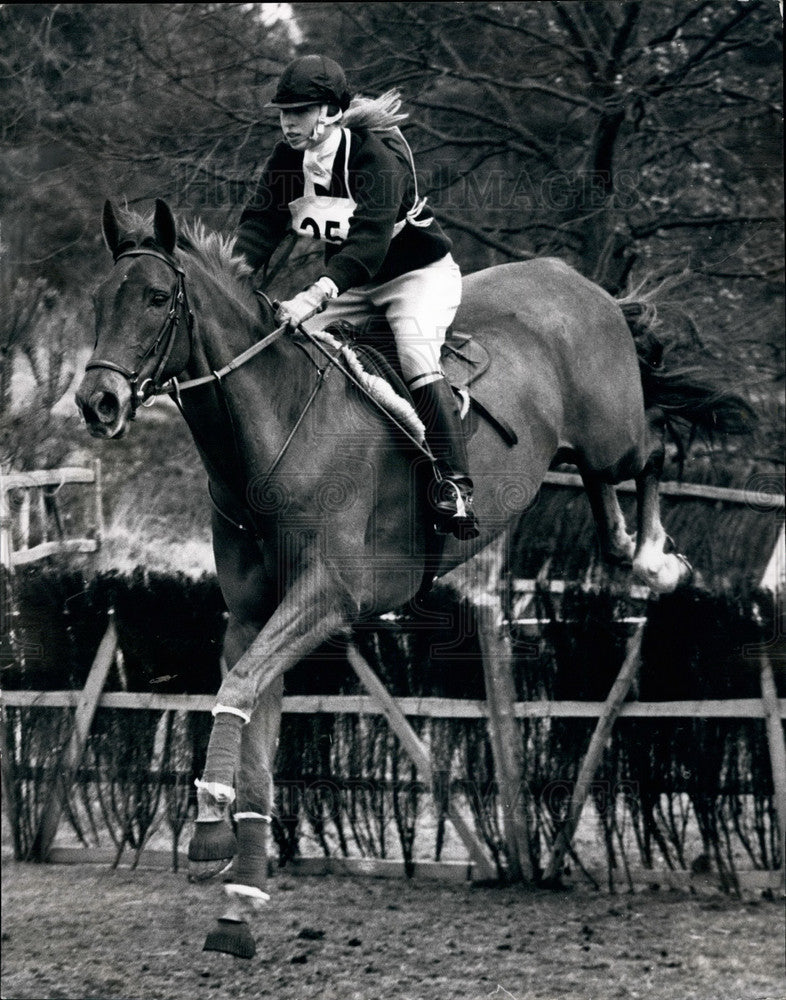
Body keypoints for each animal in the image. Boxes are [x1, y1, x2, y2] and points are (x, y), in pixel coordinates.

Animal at [76, 199, 752, 956]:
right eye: (100, 301)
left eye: (156, 298)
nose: (97, 402)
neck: (272, 430)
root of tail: (579, 282)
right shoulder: (252, 618)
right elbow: (251, 721)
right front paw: (239, 900)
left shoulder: (330, 597)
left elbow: (240, 689)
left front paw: (208, 838)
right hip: (586, 450)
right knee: (608, 504)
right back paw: (634, 551)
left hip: (612, 432)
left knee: (654, 451)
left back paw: (657, 560)